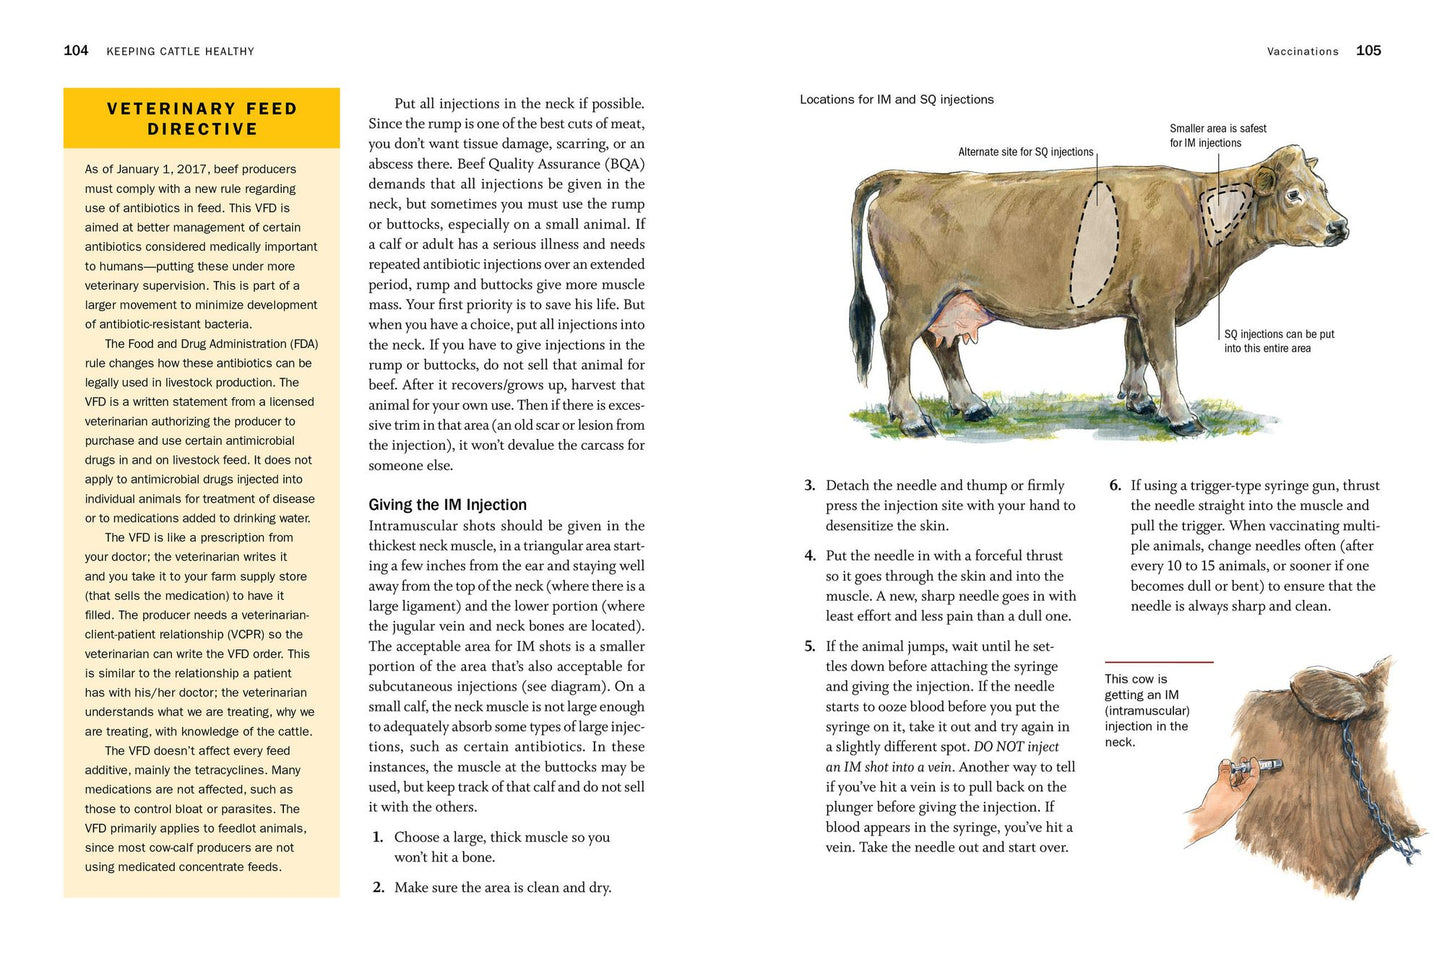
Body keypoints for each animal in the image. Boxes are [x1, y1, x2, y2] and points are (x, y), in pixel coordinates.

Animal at [848, 145, 1347, 436]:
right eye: (1294, 194)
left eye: (1322, 187)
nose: (1339, 226)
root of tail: (907, 177)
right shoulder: (1157, 300)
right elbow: (1166, 359)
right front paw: (1182, 416)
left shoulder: (1137, 302)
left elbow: (1136, 350)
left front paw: (1139, 401)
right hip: (915, 295)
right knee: (895, 339)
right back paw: (912, 418)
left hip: (951, 298)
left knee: (940, 345)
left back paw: (970, 406)